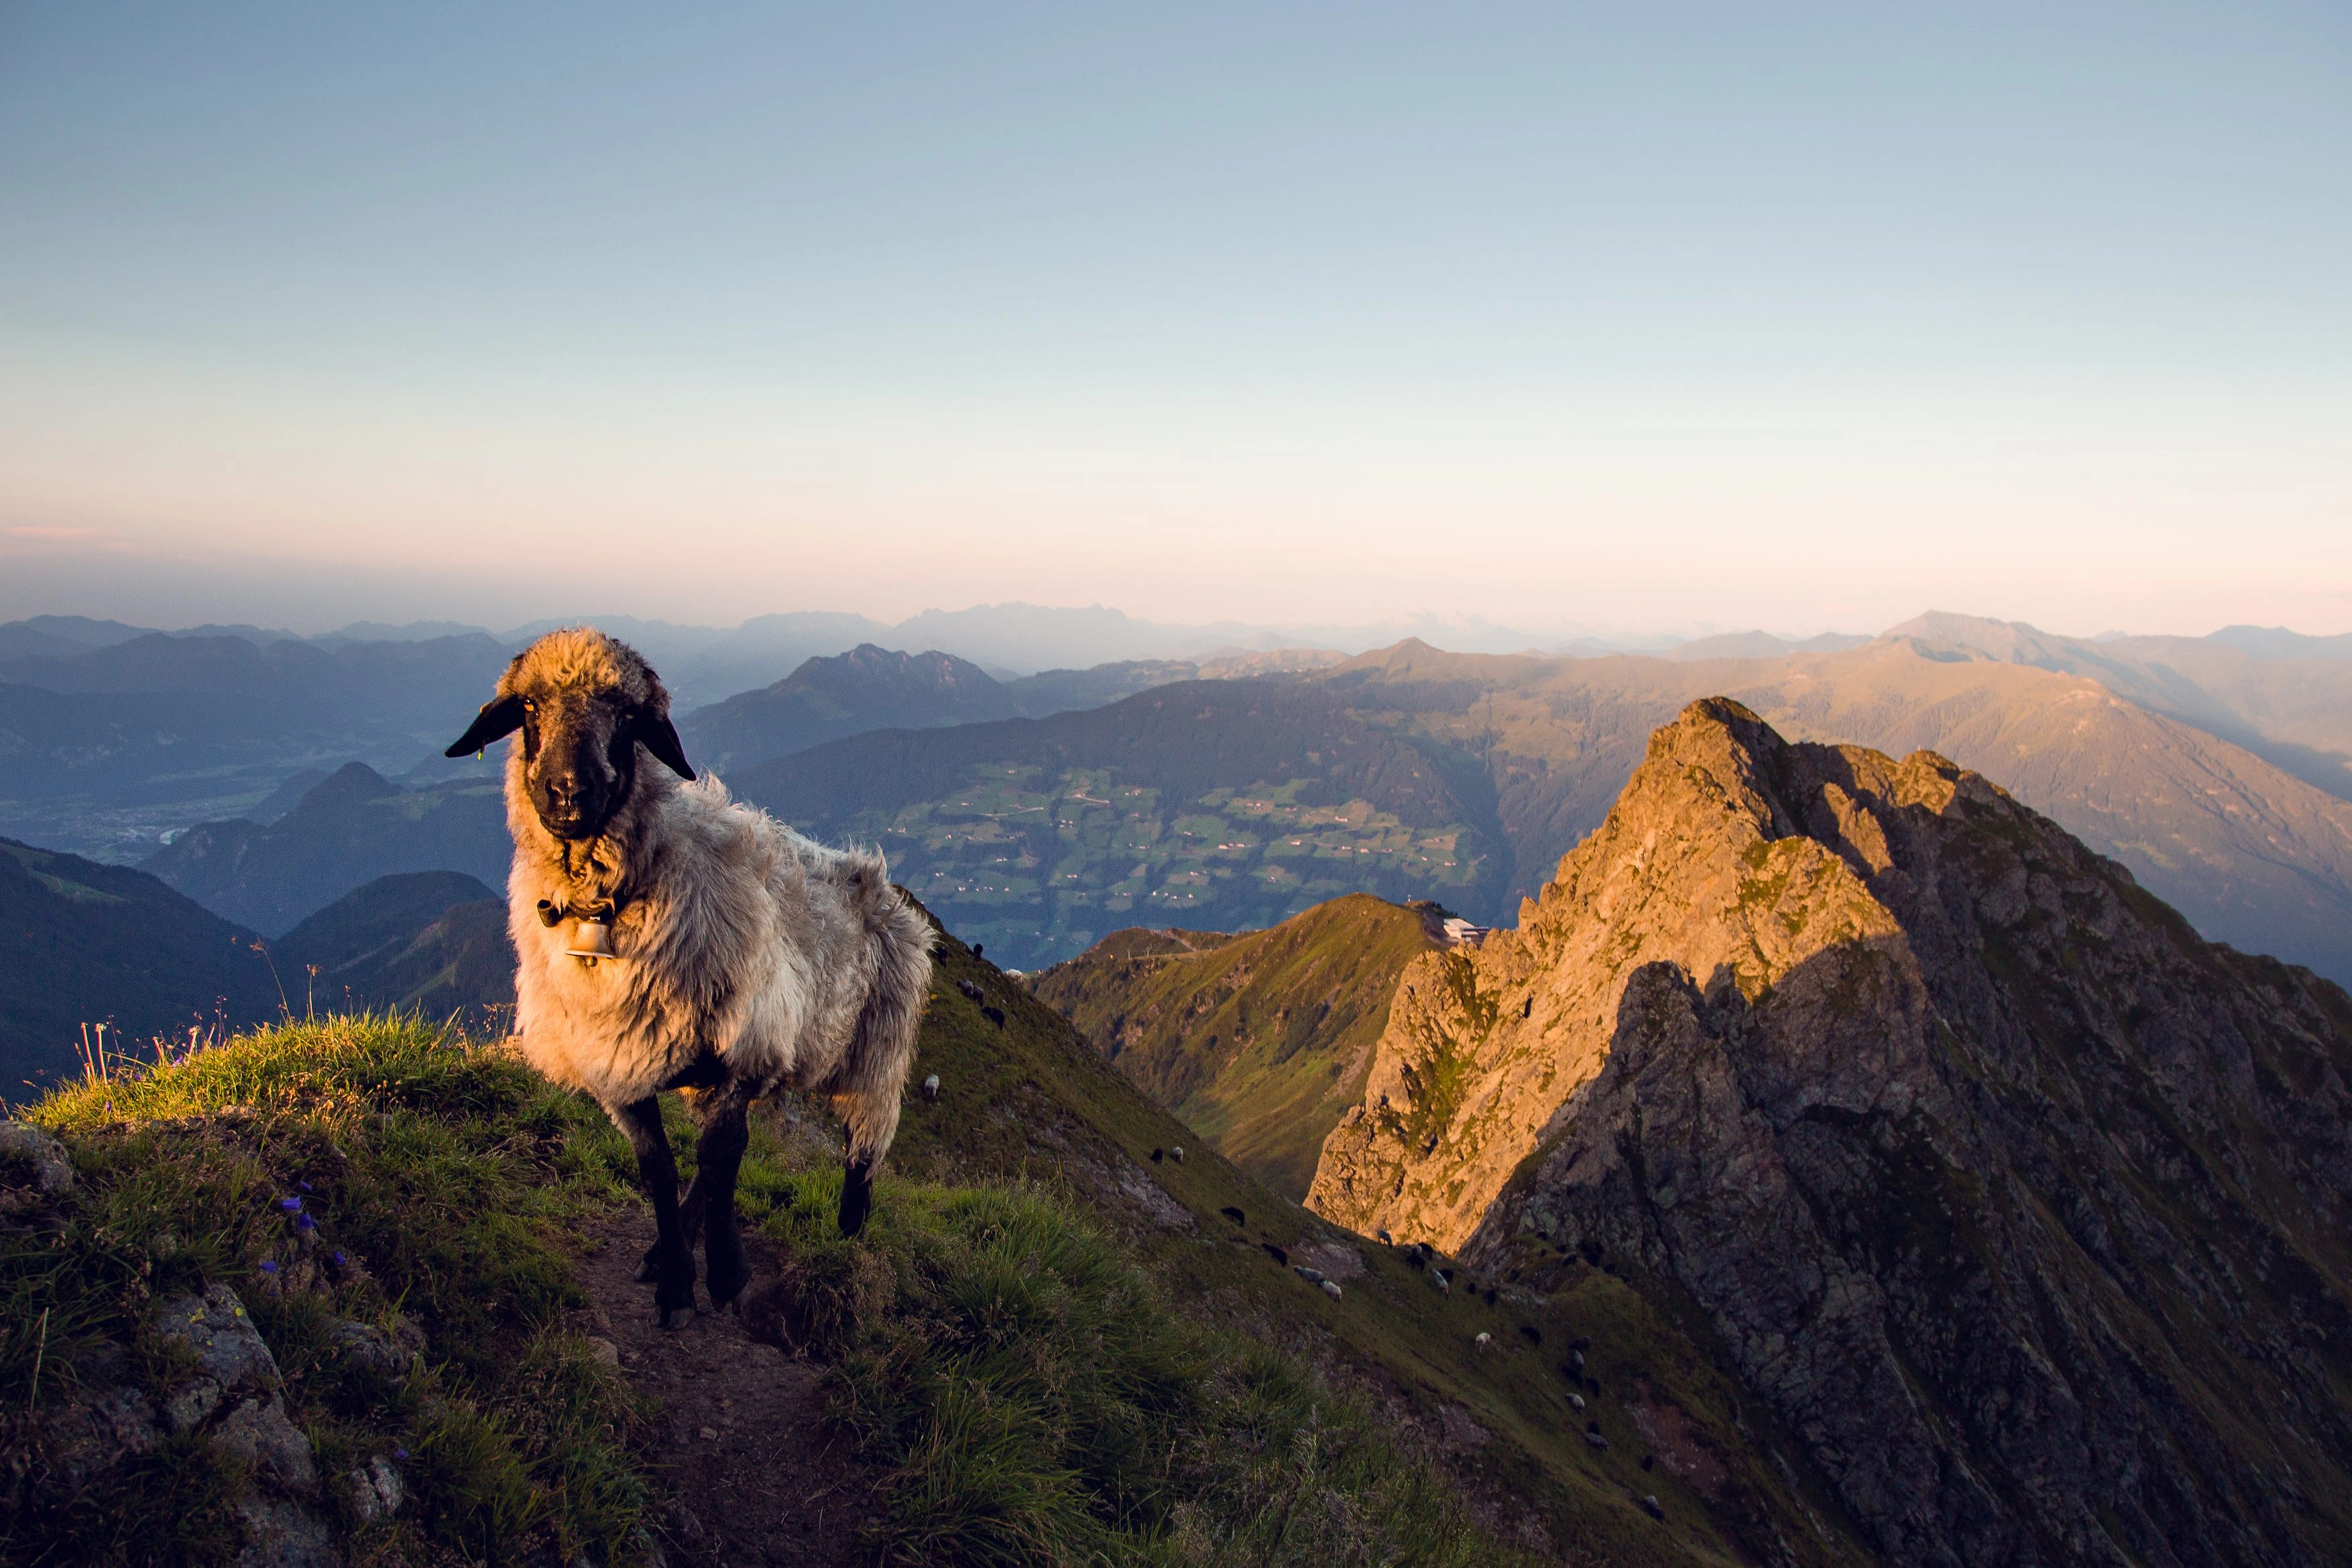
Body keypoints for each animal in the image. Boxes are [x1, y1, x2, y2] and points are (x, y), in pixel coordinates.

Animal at [446, 627, 931, 1328]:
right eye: (530, 707)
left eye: (626, 714)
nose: (568, 792)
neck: (609, 901)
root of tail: (884, 885)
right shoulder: (618, 1062)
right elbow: (662, 1167)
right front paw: (676, 1278)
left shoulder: (743, 1045)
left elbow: (720, 1157)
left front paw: (725, 1272)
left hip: (876, 1054)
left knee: (862, 1152)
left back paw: (848, 1240)